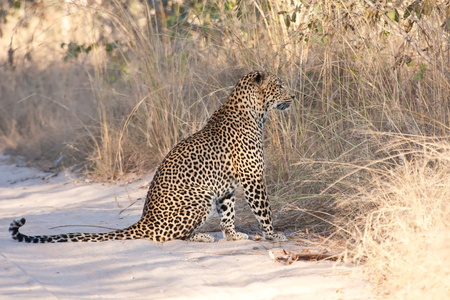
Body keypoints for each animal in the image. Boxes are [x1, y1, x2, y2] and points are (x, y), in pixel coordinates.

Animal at [9, 71, 296, 244]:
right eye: (280, 85)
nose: (293, 95)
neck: (257, 114)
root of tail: (144, 220)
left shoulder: (227, 188)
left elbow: (227, 213)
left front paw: (233, 236)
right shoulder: (252, 178)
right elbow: (264, 210)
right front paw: (274, 236)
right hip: (200, 200)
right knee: (167, 237)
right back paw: (200, 238)